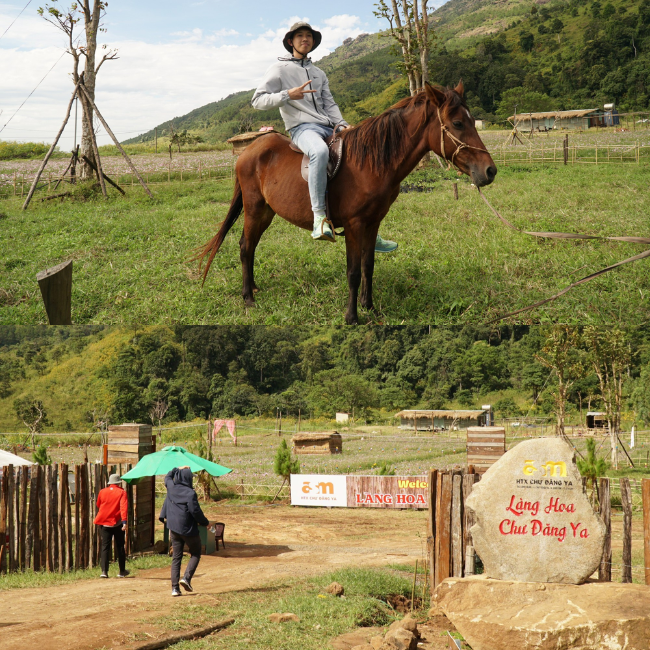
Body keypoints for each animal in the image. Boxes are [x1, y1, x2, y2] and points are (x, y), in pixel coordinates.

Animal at [197, 81, 496, 324]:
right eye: (457, 123)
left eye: (471, 121)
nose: (489, 170)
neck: (372, 163)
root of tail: (248, 151)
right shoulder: (354, 224)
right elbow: (352, 271)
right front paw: (352, 317)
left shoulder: (373, 222)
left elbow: (368, 265)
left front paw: (369, 306)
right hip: (254, 208)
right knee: (246, 246)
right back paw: (248, 297)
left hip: (267, 212)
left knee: (251, 246)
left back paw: (253, 287)